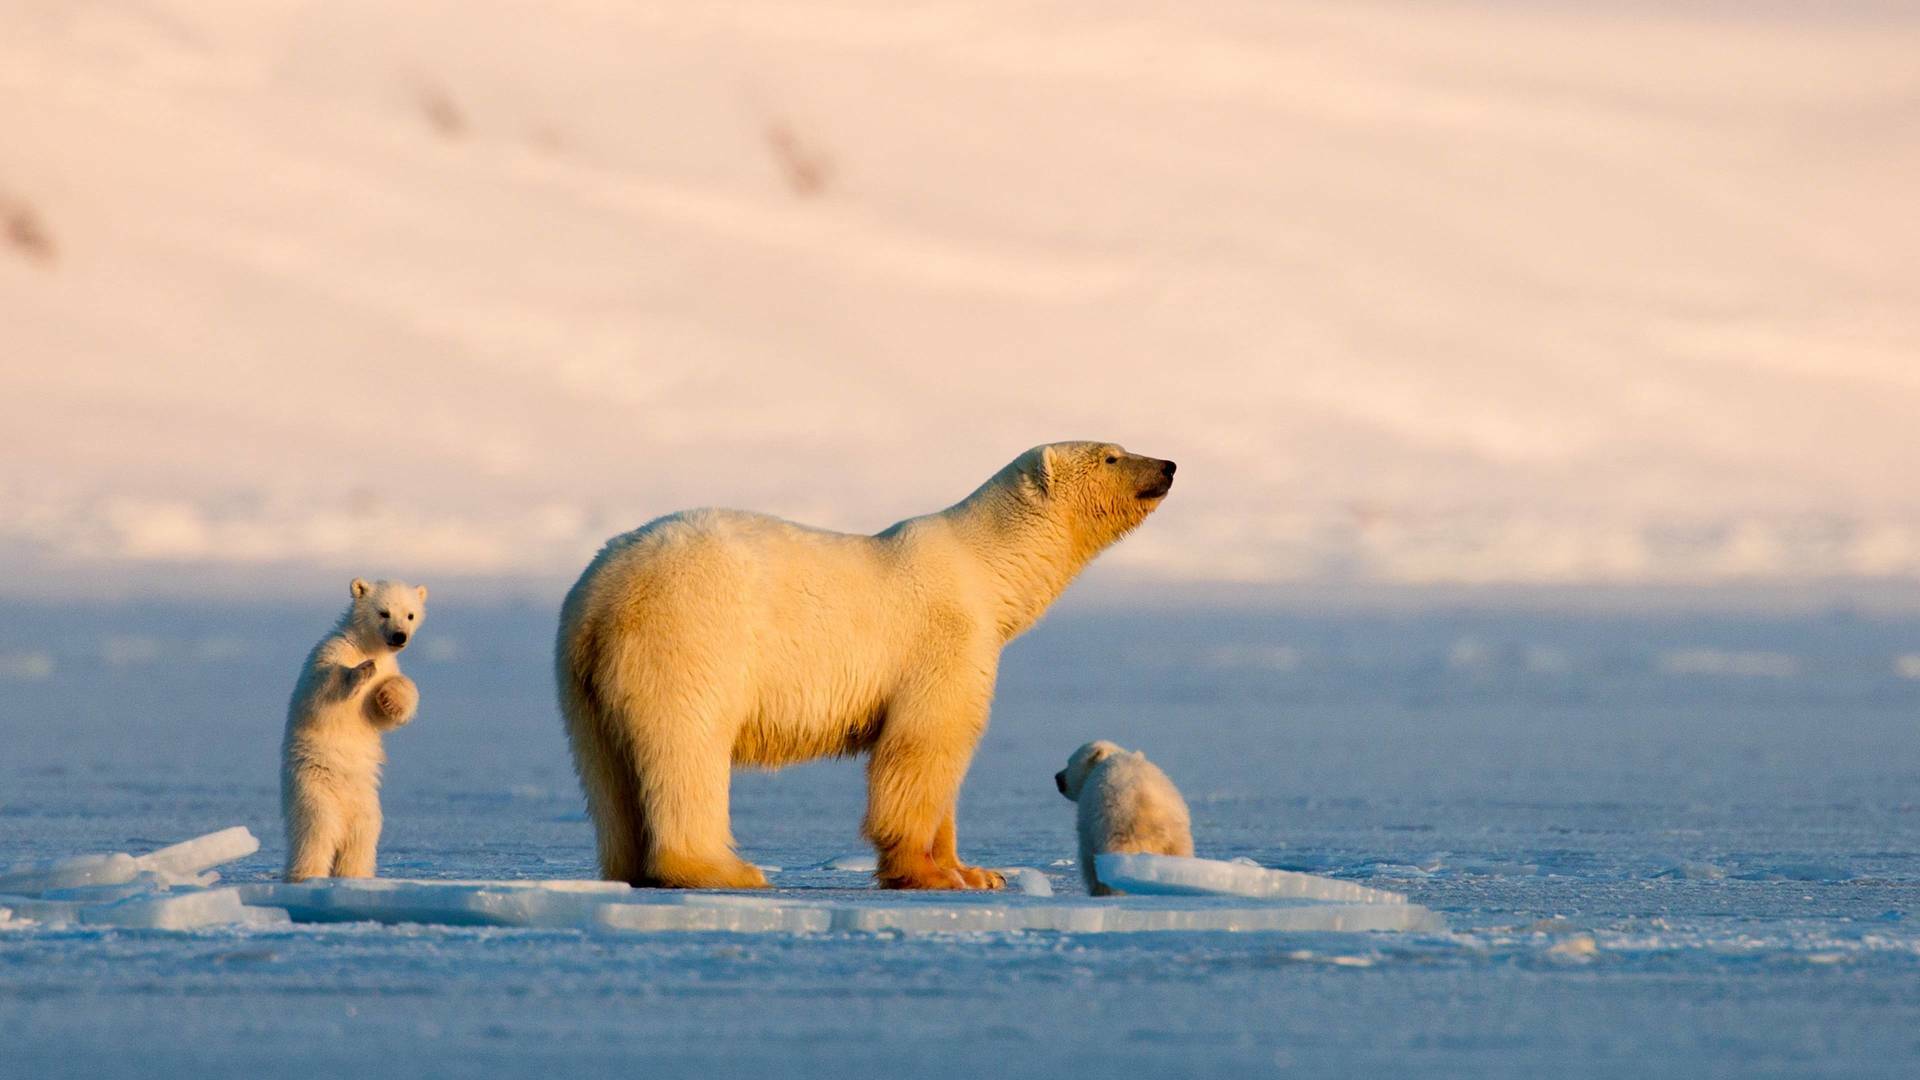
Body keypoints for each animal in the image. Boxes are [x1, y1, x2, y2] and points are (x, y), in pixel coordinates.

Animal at [280, 576, 428, 880]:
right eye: (383, 612)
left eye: (410, 614)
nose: (400, 636)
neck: (366, 645)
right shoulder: (330, 651)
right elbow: (321, 691)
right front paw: (362, 670)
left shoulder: (389, 665)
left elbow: (383, 712)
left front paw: (390, 695)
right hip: (313, 790)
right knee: (316, 834)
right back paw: (306, 874)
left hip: (366, 804)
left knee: (361, 839)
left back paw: (355, 875)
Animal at [560, 441, 1167, 887]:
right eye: (1112, 455)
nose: (1168, 465)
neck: (985, 569)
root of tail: (601, 594)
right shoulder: (943, 640)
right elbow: (923, 747)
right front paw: (930, 874)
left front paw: (978, 872)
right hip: (690, 637)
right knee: (687, 747)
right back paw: (725, 870)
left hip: (581, 678)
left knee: (606, 774)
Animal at [1059, 734, 1190, 895]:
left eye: (1069, 762)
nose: (1057, 777)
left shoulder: (1089, 825)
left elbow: (1089, 861)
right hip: (1175, 838)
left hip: (1116, 830)